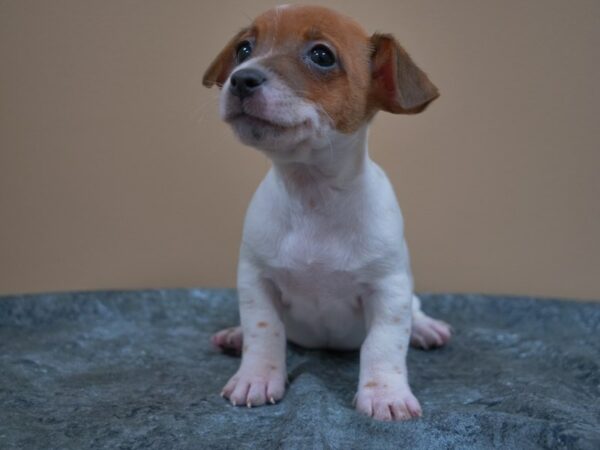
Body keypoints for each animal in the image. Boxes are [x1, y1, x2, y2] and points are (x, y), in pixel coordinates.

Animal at [203, 4, 450, 422]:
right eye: (244, 49)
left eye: (321, 55)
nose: (241, 79)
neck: (312, 195)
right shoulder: (256, 281)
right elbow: (264, 331)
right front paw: (256, 376)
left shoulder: (390, 289)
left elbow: (383, 344)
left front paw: (385, 394)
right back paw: (234, 336)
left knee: (415, 313)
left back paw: (425, 328)